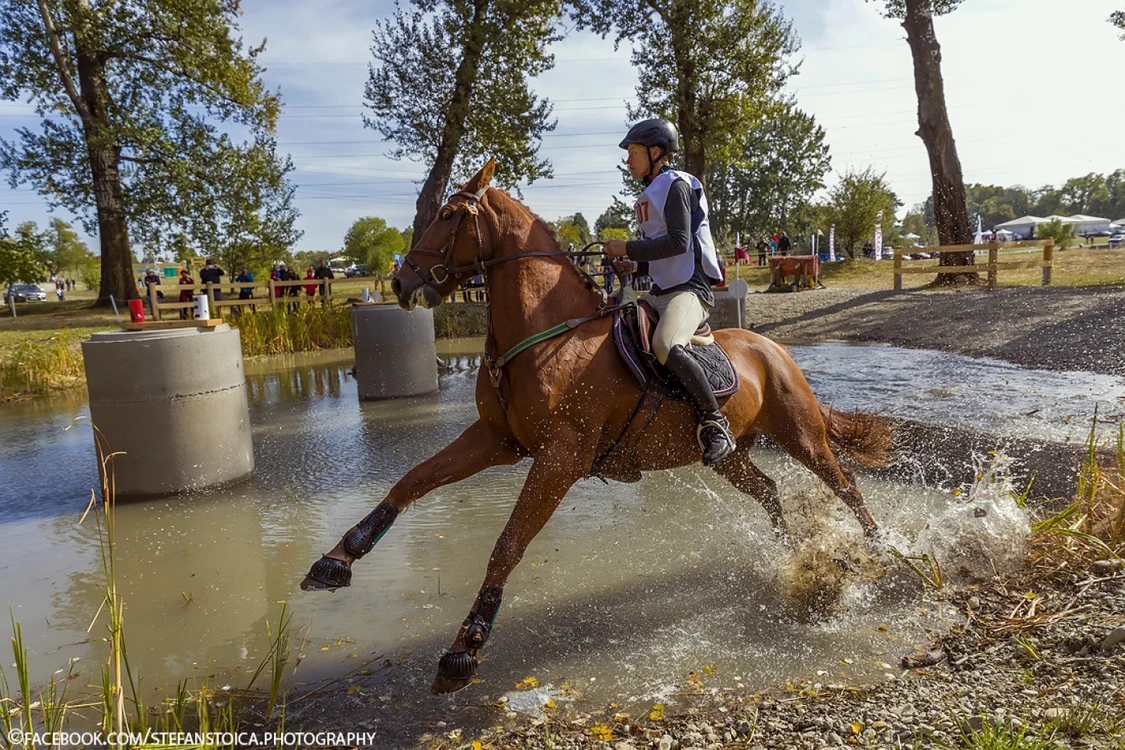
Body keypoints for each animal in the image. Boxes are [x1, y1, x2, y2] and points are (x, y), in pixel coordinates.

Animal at [301, 159, 893, 694]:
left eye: (447, 216)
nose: (402, 282)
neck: (546, 336)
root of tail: (773, 347)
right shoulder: (497, 440)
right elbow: (415, 479)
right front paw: (338, 558)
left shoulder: (559, 458)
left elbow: (508, 543)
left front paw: (465, 646)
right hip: (732, 458)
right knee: (769, 490)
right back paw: (794, 555)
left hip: (801, 435)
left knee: (846, 485)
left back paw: (882, 553)